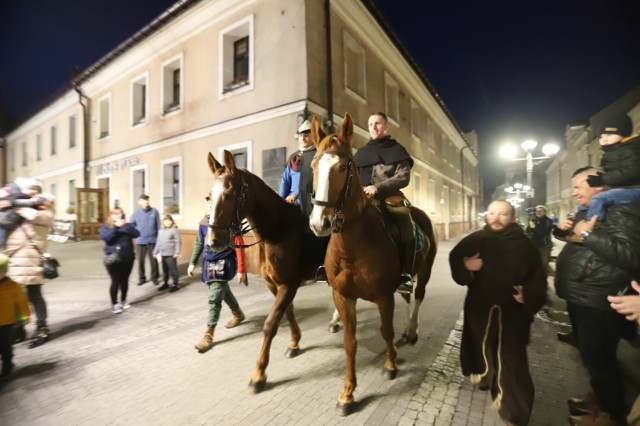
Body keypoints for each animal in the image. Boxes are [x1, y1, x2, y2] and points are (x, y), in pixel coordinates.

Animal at [205, 151, 324, 392]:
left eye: (229, 194)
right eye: (209, 197)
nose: (213, 242)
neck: (278, 231)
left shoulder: (289, 284)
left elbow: (270, 324)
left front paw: (259, 374)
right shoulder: (274, 284)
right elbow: (287, 312)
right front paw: (294, 342)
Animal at [308, 113, 438, 416]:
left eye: (343, 166)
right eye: (314, 165)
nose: (320, 223)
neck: (353, 244)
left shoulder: (382, 295)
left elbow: (385, 331)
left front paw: (390, 365)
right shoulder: (343, 296)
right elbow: (350, 343)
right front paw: (347, 393)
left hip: (425, 270)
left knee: (418, 296)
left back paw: (411, 330)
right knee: (408, 297)